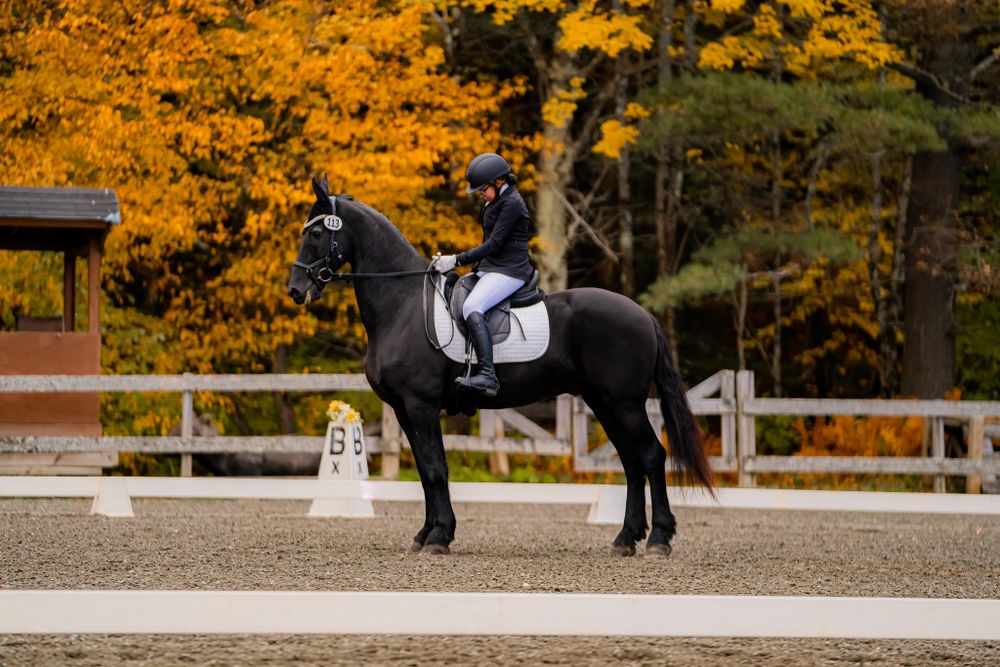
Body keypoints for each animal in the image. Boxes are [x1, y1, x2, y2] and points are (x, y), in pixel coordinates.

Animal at [287, 176, 713, 557]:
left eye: (316, 234)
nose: (295, 290)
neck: (402, 304)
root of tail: (642, 314)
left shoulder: (422, 405)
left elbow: (437, 469)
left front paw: (439, 538)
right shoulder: (403, 409)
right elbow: (425, 472)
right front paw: (425, 535)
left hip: (623, 403)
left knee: (651, 457)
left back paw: (658, 540)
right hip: (604, 403)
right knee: (632, 463)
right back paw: (626, 539)